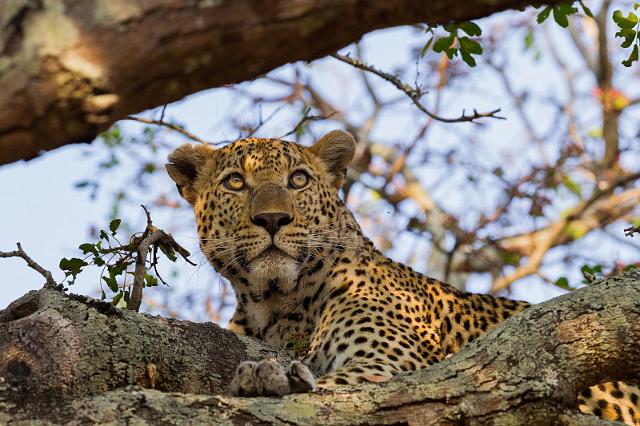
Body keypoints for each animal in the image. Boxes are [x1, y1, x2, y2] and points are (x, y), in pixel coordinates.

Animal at [166, 131, 640, 426]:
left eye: (298, 180)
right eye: (235, 182)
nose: (272, 219)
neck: (276, 305)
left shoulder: (392, 365)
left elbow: (331, 391)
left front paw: (270, 380)